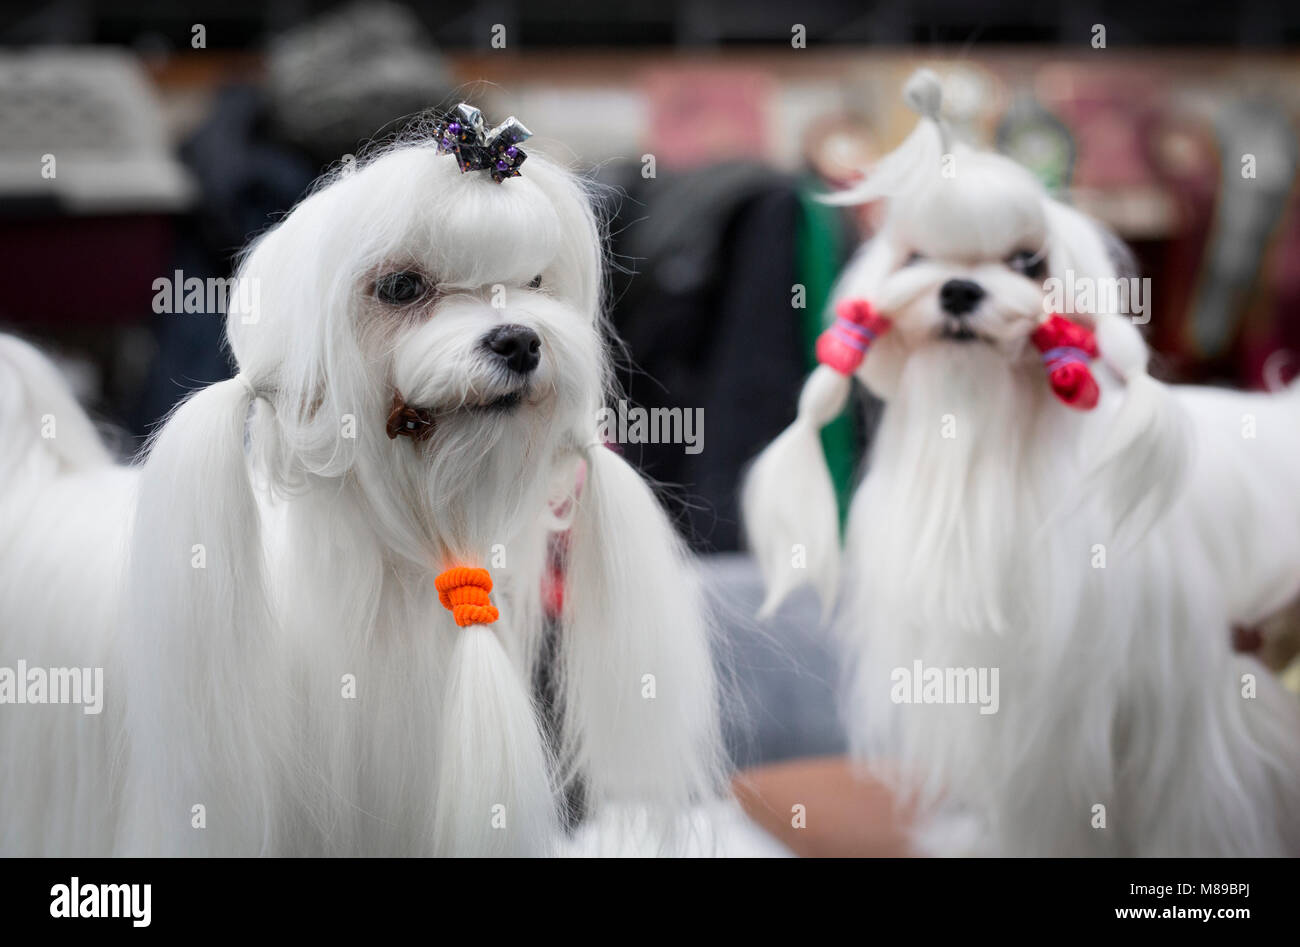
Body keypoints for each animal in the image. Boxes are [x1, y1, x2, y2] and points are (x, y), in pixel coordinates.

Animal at [743, 74, 1300, 858]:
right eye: (916, 259)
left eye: (1028, 264)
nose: (958, 290)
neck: (994, 450)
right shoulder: (1029, 728)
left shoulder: (1188, 721)